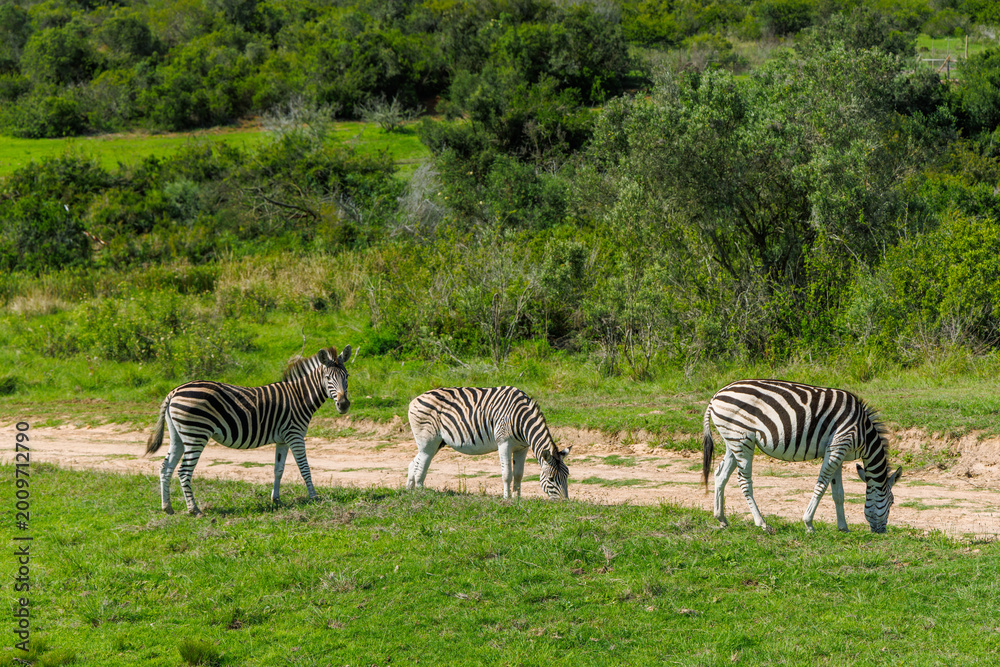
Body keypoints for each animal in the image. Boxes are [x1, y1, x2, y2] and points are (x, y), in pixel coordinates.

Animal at [146, 345, 352, 515]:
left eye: (346, 376)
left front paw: (276, 499)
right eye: (328, 378)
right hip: (196, 435)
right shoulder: (295, 435)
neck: (300, 396)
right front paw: (314, 497)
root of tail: (174, 392)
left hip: (178, 436)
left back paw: (167, 507)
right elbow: (304, 468)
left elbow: (278, 469)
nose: (343, 405)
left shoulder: (283, 439)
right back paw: (194, 509)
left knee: (165, 467)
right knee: (183, 472)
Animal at [406, 386, 571, 500]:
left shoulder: (522, 448)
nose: (564, 503)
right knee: (421, 466)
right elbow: (507, 473)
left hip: (437, 442)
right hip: (428, 441)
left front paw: (517, 498)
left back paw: (409, 491)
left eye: (567, 476)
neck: (522, 420)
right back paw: (421, 494)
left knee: (414, 462)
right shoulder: (503, 443)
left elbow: (518, 474)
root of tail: (415, 399)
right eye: (551, 479)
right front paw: (507, 498)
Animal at [702, 379, 902, 533]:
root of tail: (716, 396)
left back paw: (721, 519)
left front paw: (843, 527)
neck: (864, 433)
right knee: (744, 481)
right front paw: (809, 524)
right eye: (892, 502)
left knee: (720, 475)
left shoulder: (839, 451)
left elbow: (838, 493)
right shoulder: (838, 446)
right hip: (742, 440)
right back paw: (762, 524)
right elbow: (821, 486)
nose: (882, 532)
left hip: (733, 441)